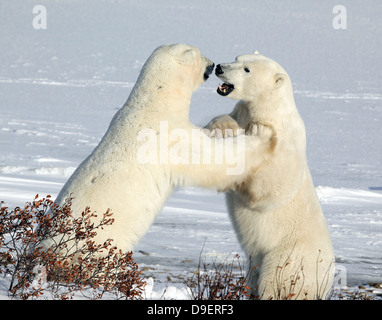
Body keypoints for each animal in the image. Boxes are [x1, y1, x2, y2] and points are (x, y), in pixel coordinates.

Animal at [53, 44, 274, 255]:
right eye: (199, 54)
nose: (213, 64)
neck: (154, 104)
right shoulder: (170, 139)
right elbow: (210, 158)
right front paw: (263, 135)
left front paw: (224, 125)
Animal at [206, 51, 334, 298]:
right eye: (237, 58)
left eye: (247, 69)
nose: (220, 67)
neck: (271, 111)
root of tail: (327, 279)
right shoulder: (241, 112)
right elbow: (225, 121)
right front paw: (221, 128)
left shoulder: (286, 142)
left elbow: (274, 186)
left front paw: (257, 134)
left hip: (289, 256)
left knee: (273, 280)